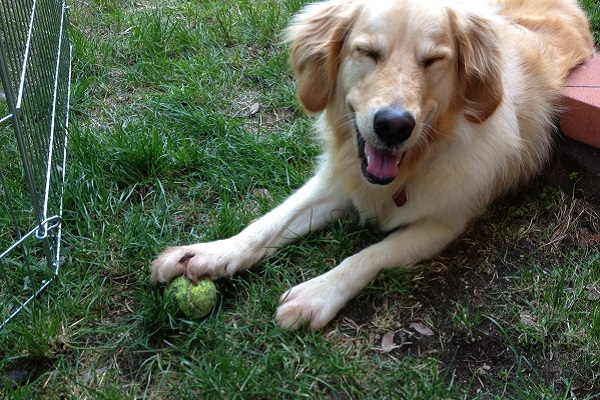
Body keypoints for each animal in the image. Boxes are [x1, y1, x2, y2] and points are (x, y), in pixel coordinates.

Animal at [151, 0, 596, 328]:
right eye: (367, 52)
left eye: (433, 60)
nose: (393, 125)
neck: (417, 162)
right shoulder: (339, 179)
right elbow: (267, 223)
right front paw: (208, 253)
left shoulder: (442, 222)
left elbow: (368, 255)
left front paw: (317, 294)